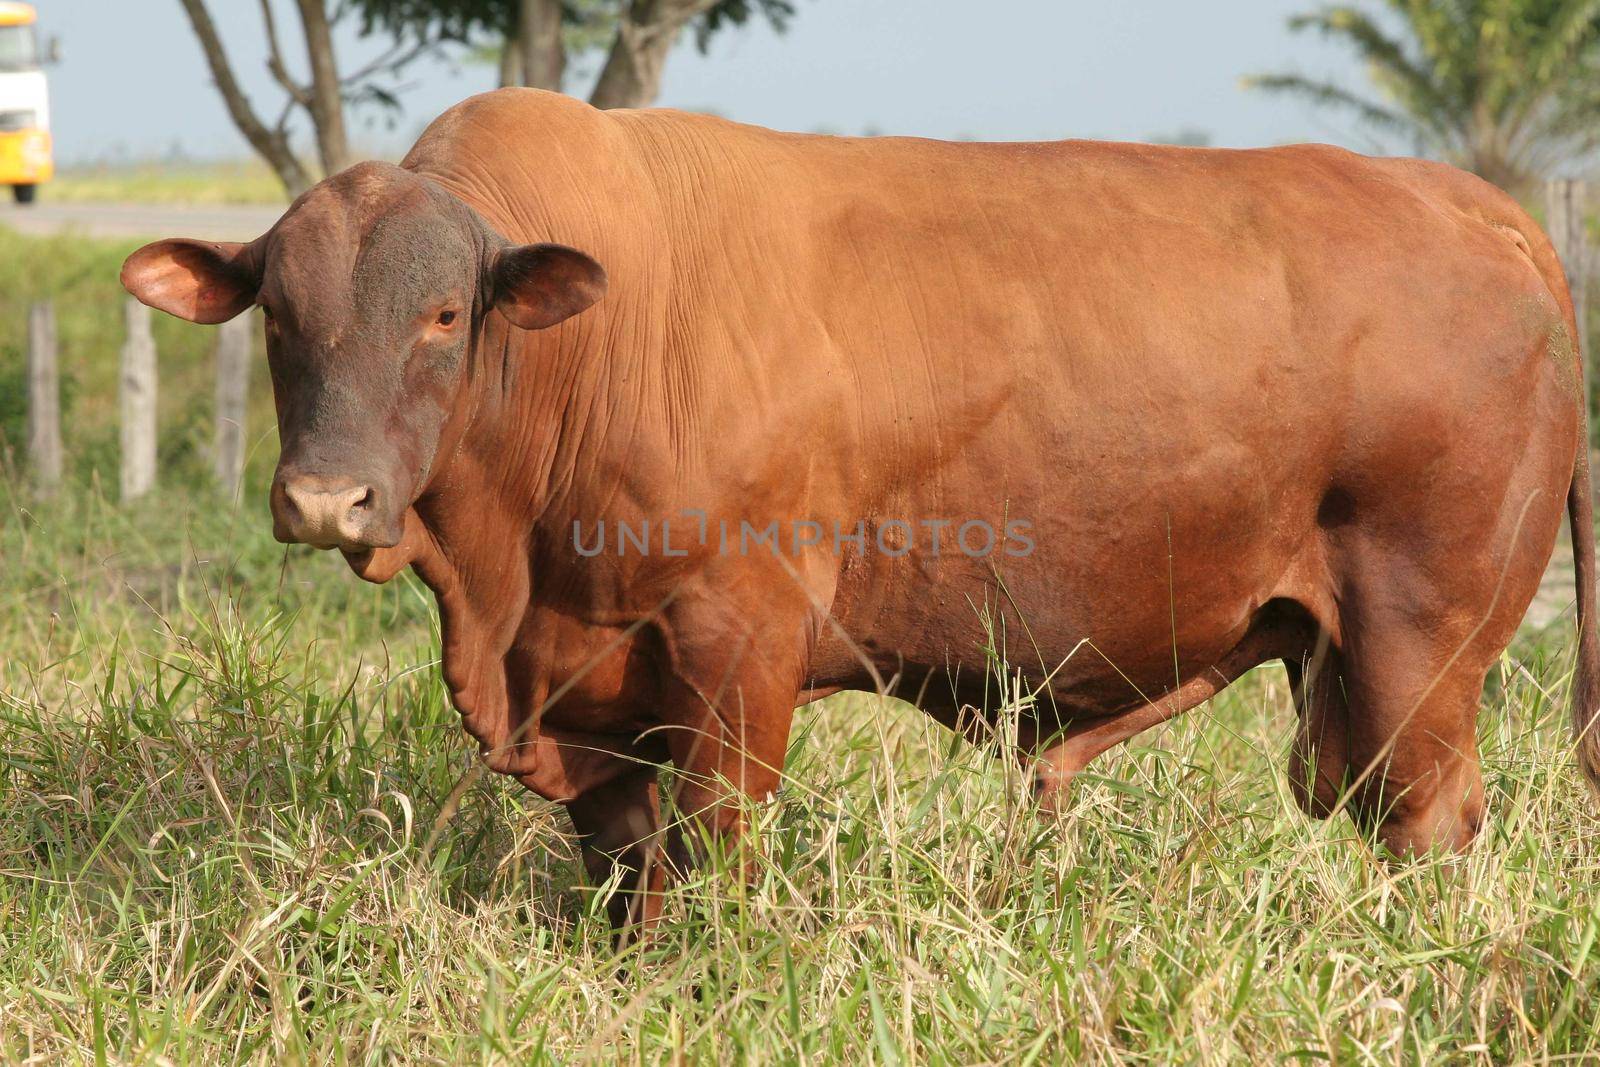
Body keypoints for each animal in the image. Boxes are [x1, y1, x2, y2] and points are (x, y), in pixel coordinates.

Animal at [124, 87, 1600, 927]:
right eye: (280, 316)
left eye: (441, 315)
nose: (327, 496)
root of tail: (1479, 207)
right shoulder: (598, 691)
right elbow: (624, 863)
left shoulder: (736, 642)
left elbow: (711, 849)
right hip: (1340, 663)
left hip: (1420, 644)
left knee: (1426, 820)